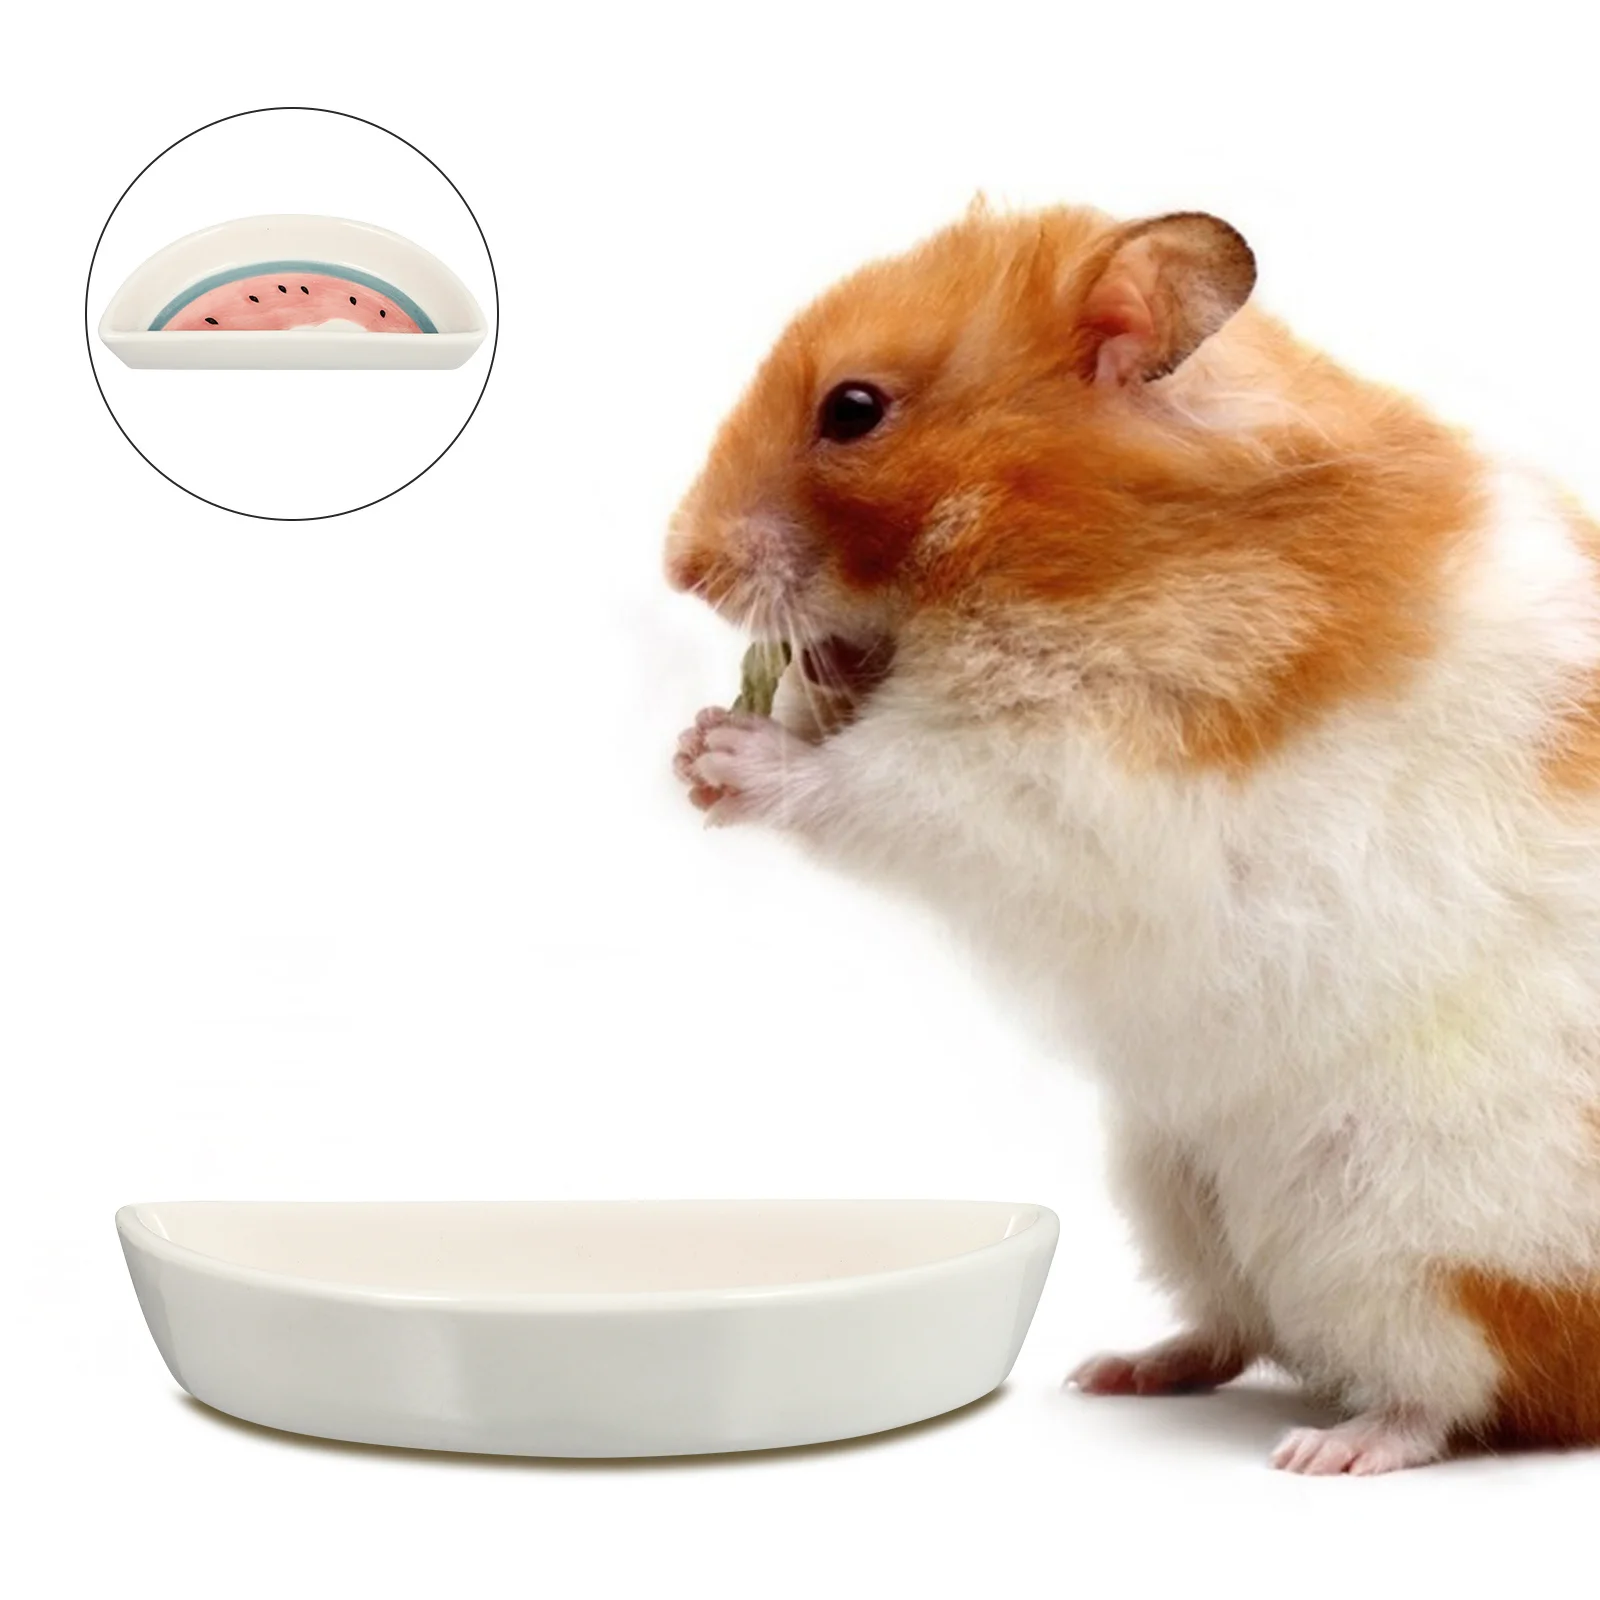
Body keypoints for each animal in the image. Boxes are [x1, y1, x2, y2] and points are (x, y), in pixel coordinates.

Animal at [664, 200, 1600, 1474]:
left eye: (852, 409)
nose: (677, 563)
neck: (1079, 537)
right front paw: (695, 747)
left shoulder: (1058, 774)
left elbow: (876, 784)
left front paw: (727, 754)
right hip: (1170, 1179)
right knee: (1237, 1323)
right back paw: (1118, 1370)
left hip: (1424, 1233)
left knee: (1458, 1389)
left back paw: (1328, 1449)